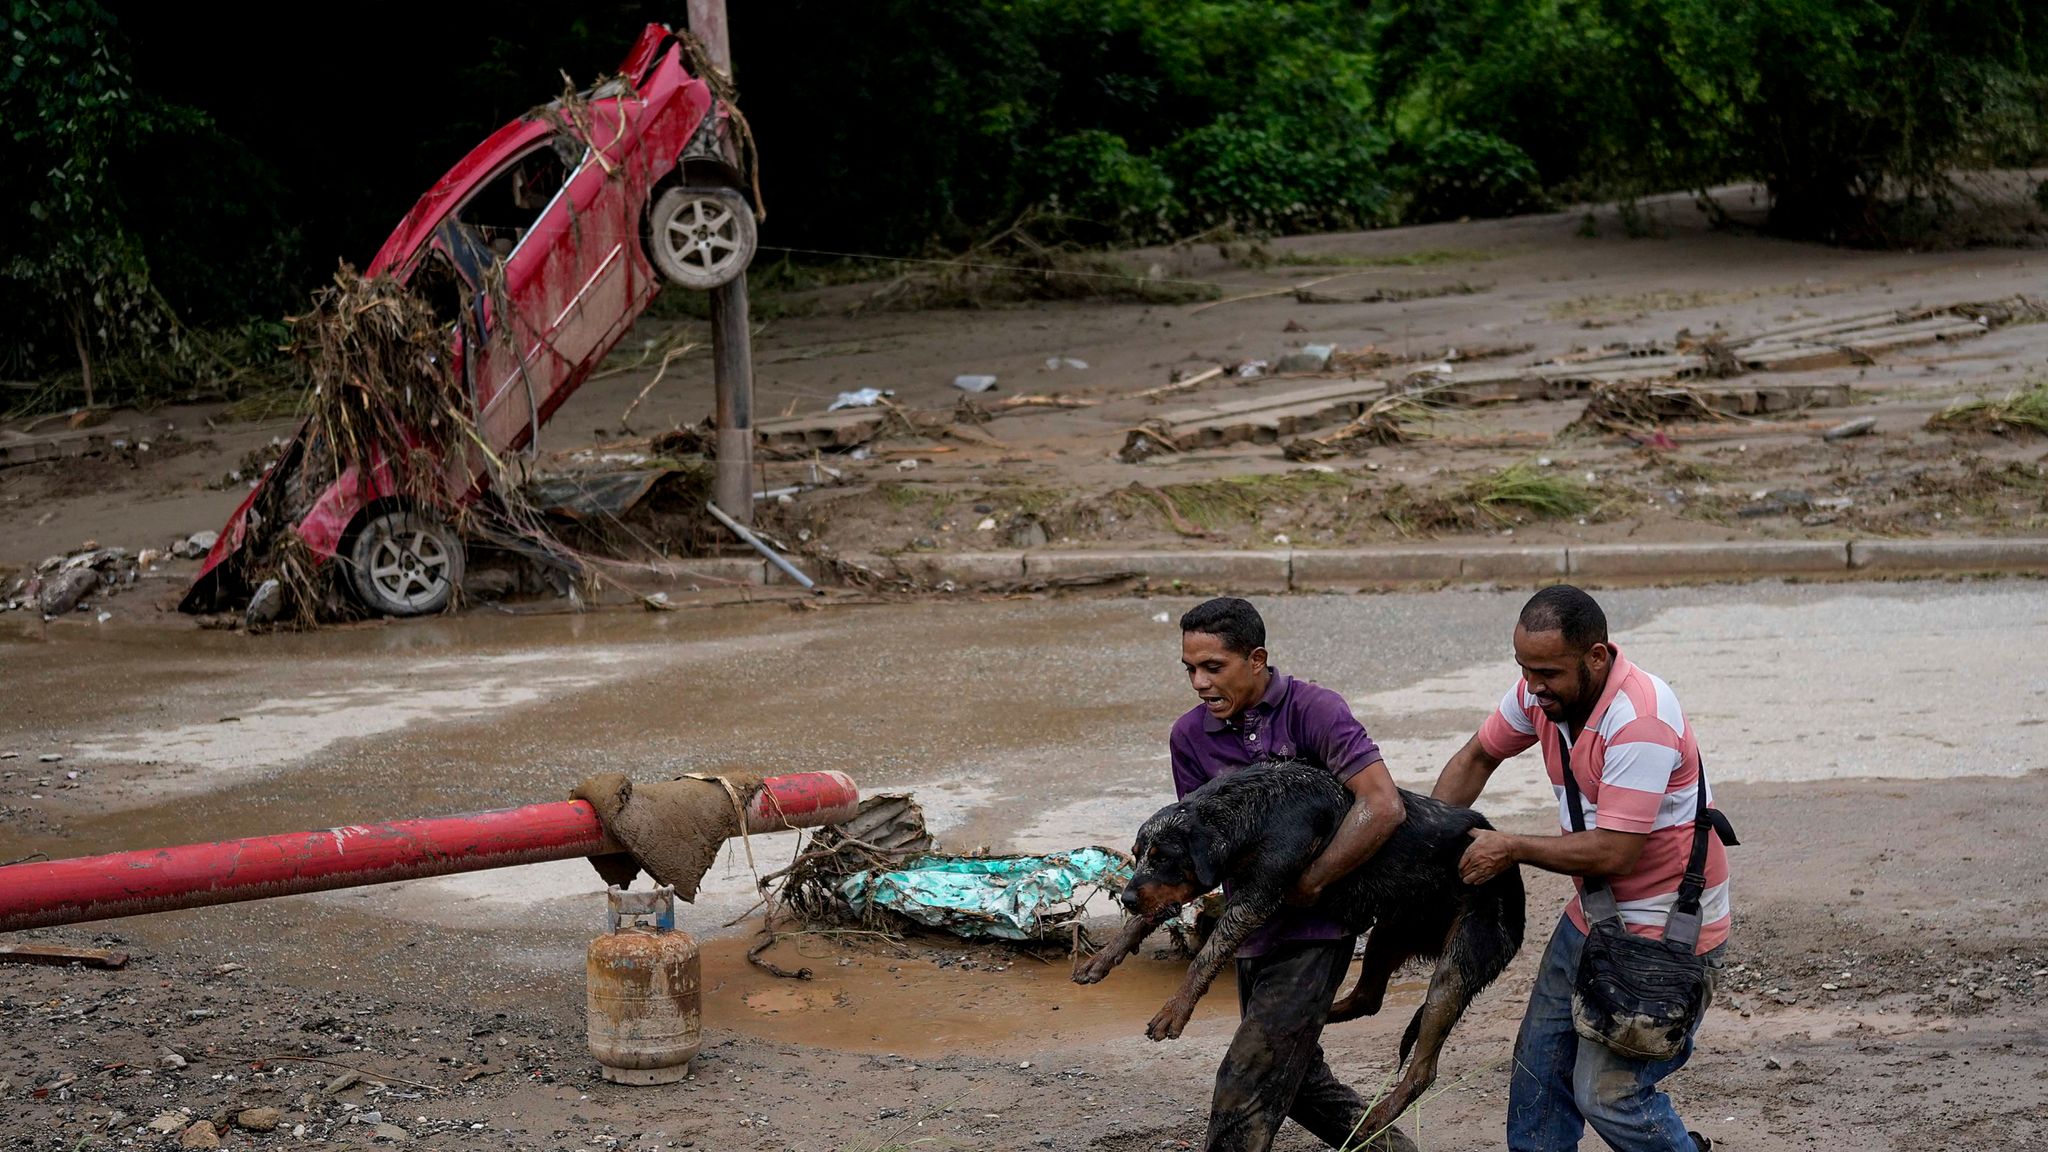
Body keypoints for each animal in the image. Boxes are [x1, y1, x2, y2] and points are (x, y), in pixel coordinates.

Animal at [1073, 758, 1523, 1131]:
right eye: (1136, 854)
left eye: (1163, 856)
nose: (1126, 898)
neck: (1254, 810)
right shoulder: (1200, 882)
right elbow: (1144, 920)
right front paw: (1102, 959)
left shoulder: (1259, 893)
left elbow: (1206, 955)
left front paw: (1175, 1011)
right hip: (1390, 931)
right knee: (1368, 998)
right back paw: (1328, 1014)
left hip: (1460, 961)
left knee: (1423, 1069)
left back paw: (1377, 1116)